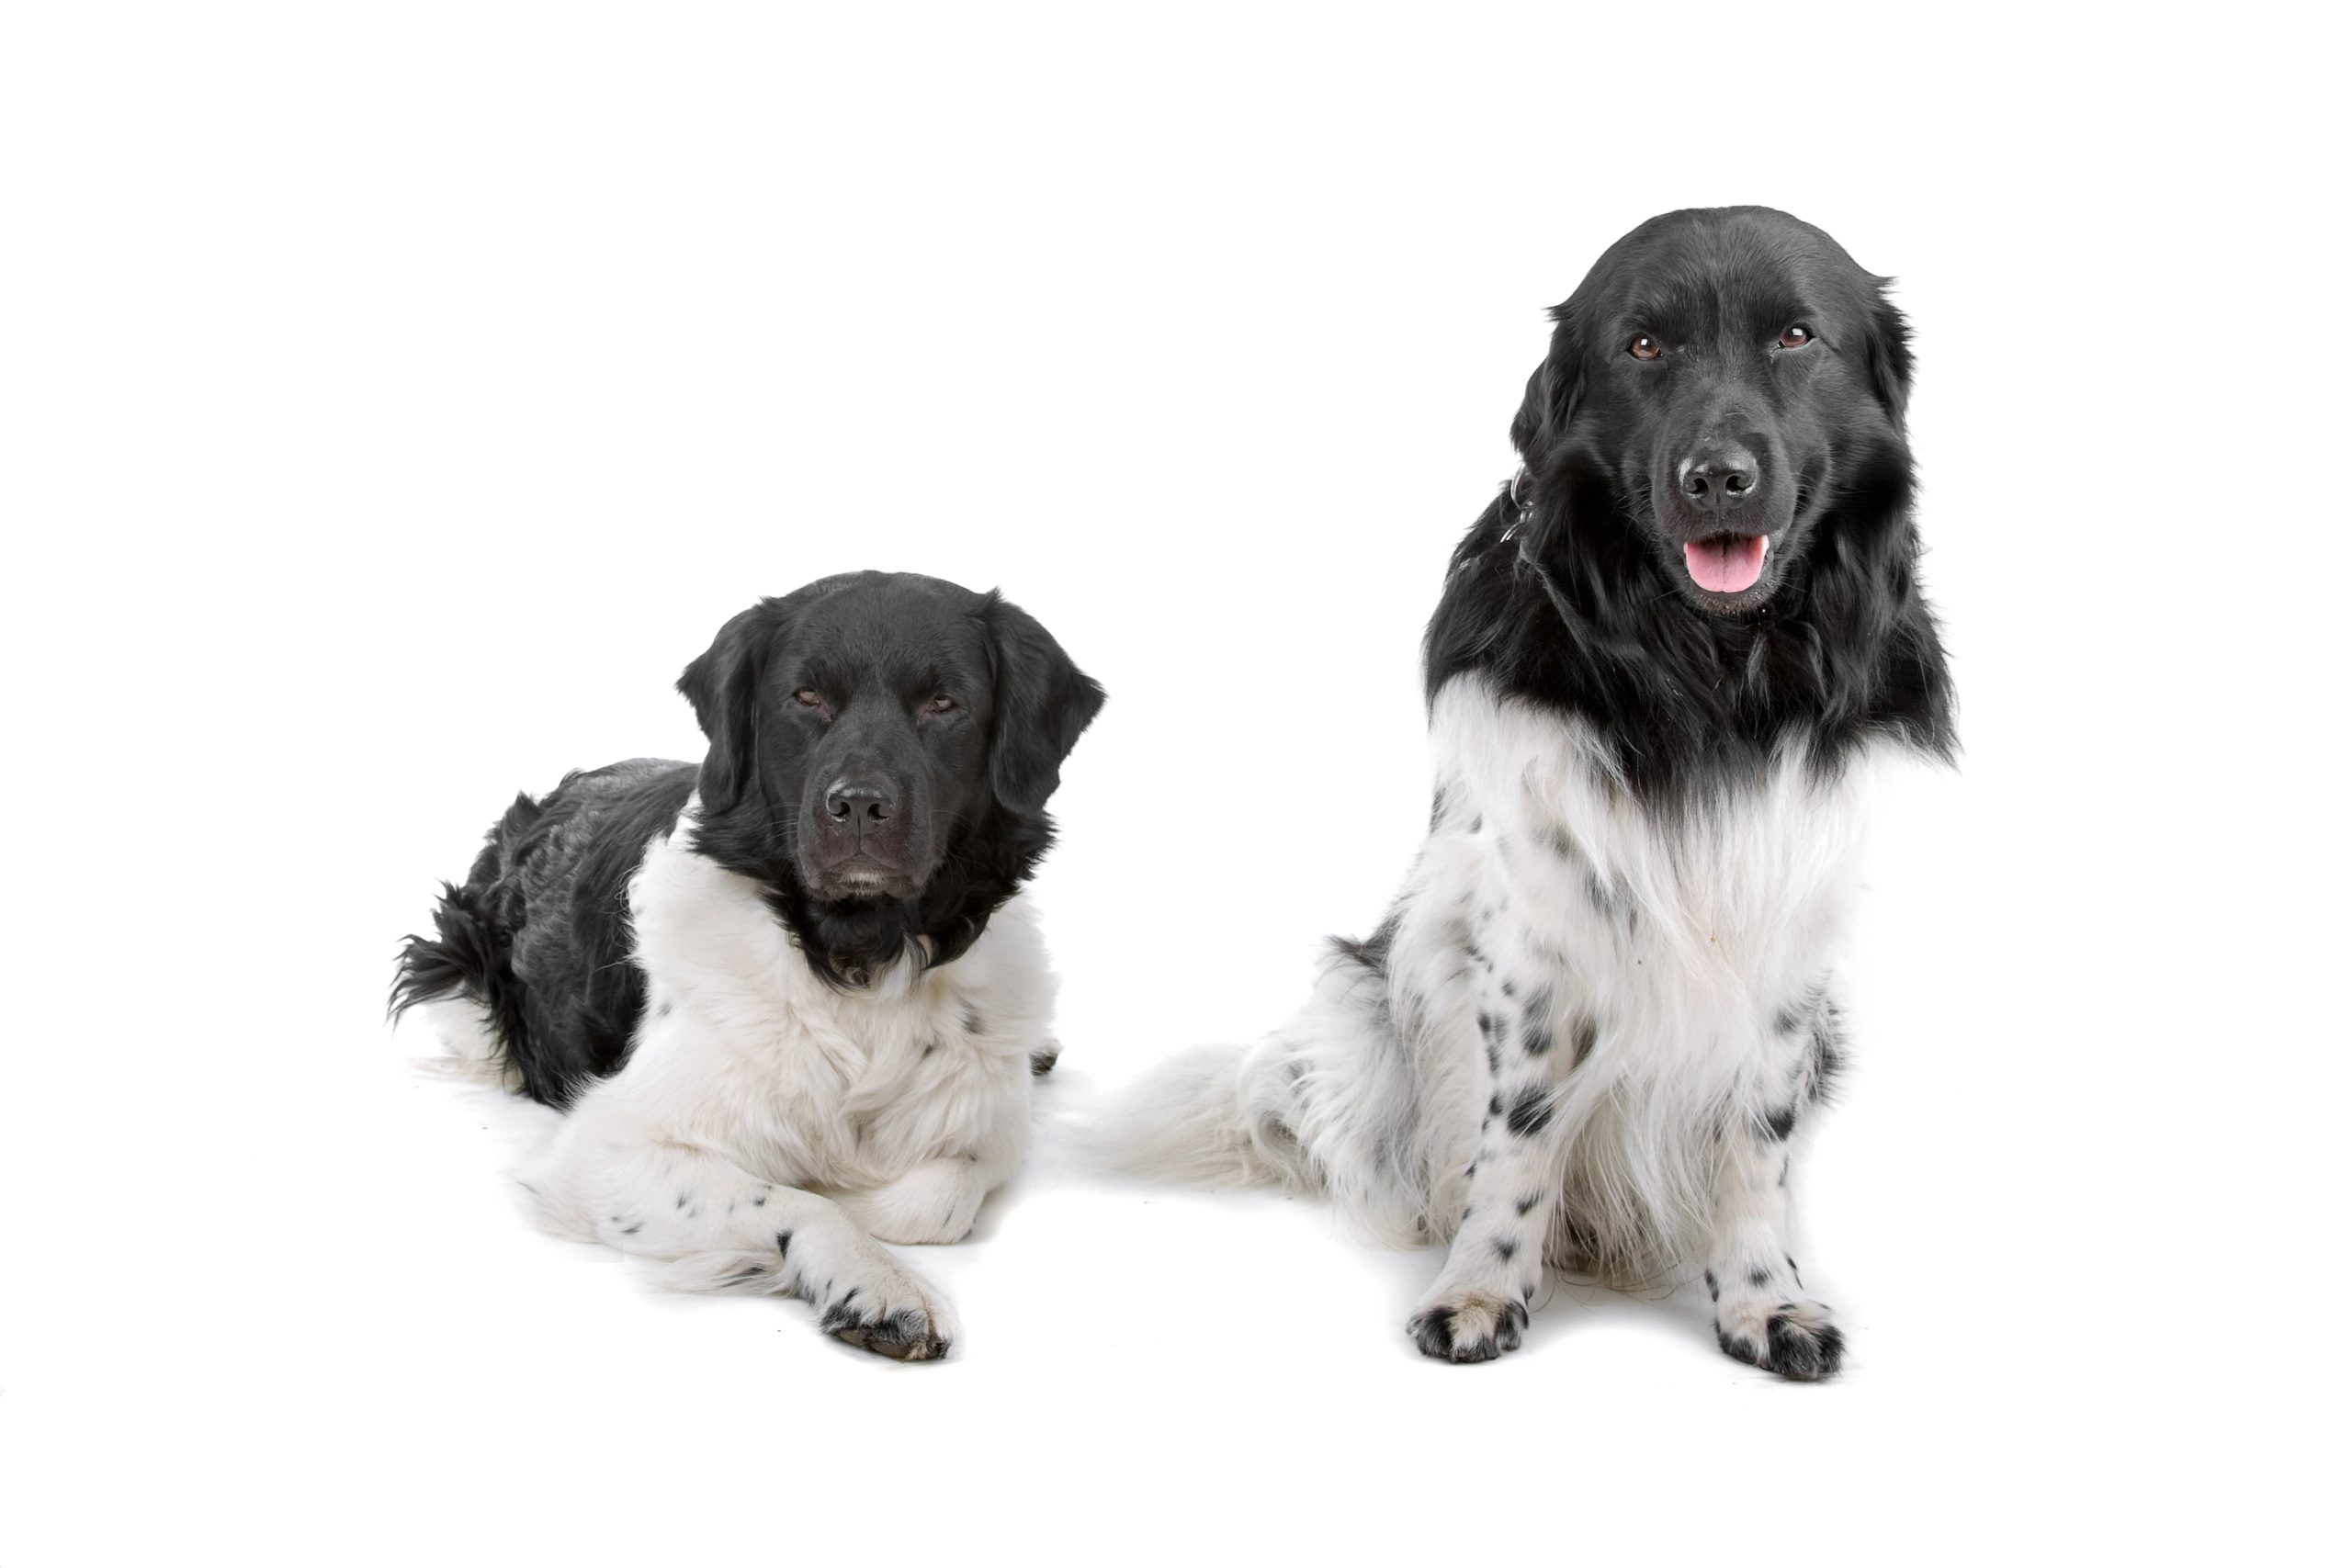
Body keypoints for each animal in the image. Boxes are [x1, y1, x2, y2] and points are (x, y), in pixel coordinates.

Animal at [392, 573, 1101, 1363]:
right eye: (806, 697)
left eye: (944, 703)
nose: (858, 805)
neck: (855, 960)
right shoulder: (607, 1146)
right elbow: (799, 1200)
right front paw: (878, 1277)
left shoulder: (986, 1131)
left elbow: (931, 1199)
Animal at [1110, 208, 1956, 1372]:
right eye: (1643, 346)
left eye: (1796, 337)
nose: (1718, 476)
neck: (1706, 670)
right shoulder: (1528, 926)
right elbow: (1514, 1133)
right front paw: (1480, 1289)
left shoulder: (1786, 928)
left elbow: (1755, 1136)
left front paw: (1763, 1298)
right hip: (1374, 991)